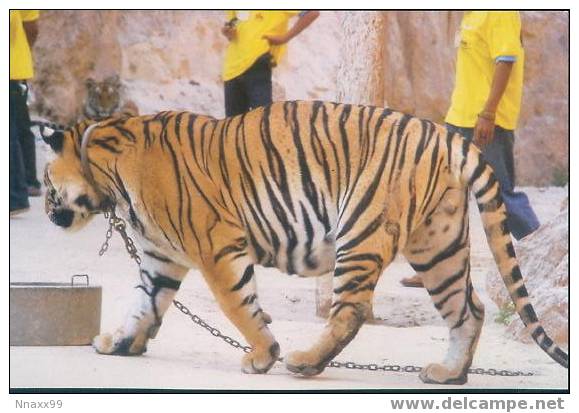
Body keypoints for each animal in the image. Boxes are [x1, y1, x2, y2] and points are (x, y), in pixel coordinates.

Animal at [42, 100, 572, 384]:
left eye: (46, 183)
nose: (47, 212)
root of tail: (446, 136)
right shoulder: (158, 259)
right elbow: (142, 304)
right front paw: (118, 343)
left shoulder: (218, 245)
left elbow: (239, 306)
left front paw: (263, 355)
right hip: (436, 246)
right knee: (469, 310)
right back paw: (449, 374)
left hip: (361, 230)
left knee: (351, 311)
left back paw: (303, 363)